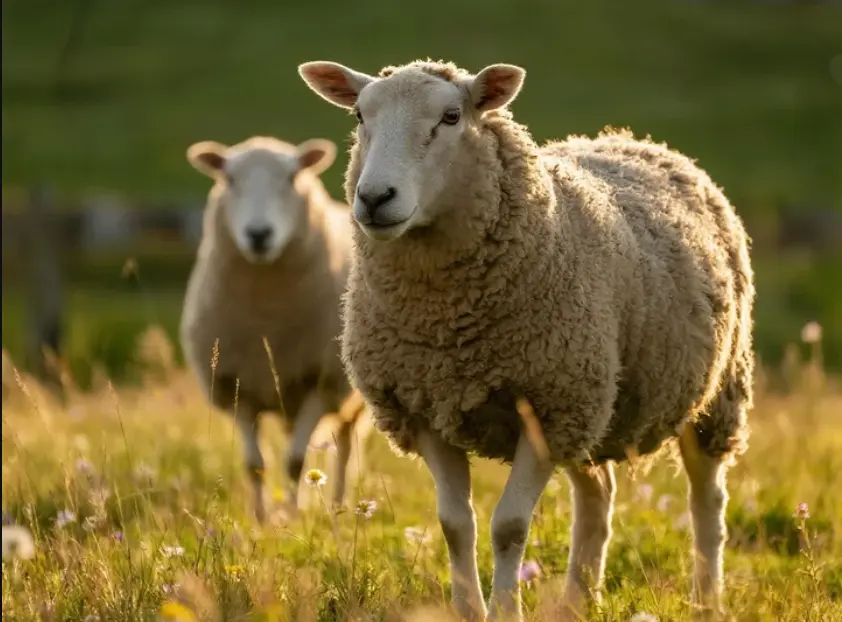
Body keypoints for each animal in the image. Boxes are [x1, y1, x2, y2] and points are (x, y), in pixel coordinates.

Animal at [180, 135, 369, 524]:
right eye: (230, 179)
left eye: (292, 178)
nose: (259, 234)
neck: (268, 318)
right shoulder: (236, 388)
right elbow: (255, 465)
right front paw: (261, 519)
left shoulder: (321, 384)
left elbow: (296, 462)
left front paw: (294, 517)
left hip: (350, 394)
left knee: (345, 445)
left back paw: (338, 505)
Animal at [297, 59, 755, 621]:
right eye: (361, 115)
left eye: (451, 117)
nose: (374, 198)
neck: (446, 329)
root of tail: (638, 141)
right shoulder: (424, 409)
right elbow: (456, 526)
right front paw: (468, 611)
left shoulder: (545, 409)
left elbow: (509, 526)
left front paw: (504, 610)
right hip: (592, 402)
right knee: (597, 496)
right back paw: (579, 601)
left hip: (713, 391)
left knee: (706, 499)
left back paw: (707, 600)